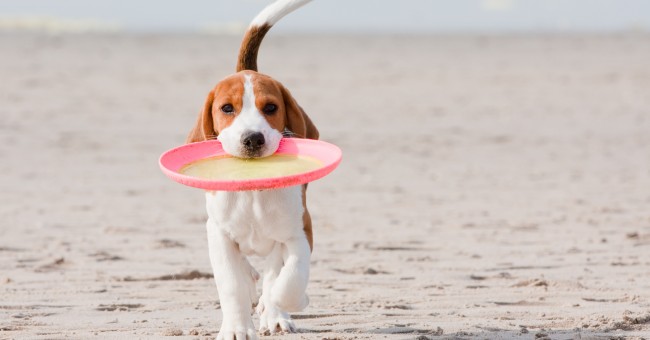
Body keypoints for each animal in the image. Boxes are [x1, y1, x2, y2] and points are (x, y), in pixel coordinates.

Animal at [186, 1, 318, 338]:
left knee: (273, 271)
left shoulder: (300, 231)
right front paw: (236, 327)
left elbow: (290, 278)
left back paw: (274, 313)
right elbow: (231, 284)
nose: (252, 139)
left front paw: (281, 304)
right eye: (226, 108)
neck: (253, 191)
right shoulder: (217, 233)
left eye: (271, 108)